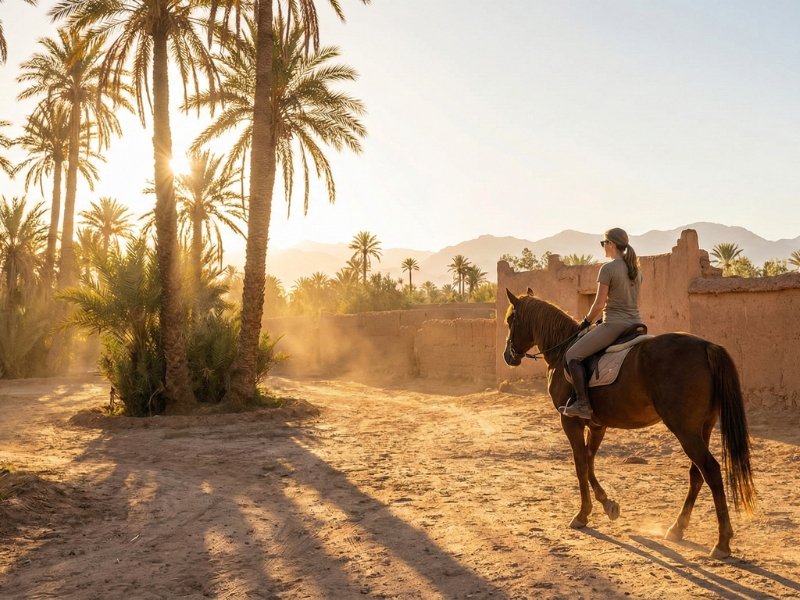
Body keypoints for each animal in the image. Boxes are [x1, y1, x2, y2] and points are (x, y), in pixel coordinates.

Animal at [502, 288, 756, 559]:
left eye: (510, 320)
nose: (508, 356)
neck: (562, 353)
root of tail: (707, 345)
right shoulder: (597, 425)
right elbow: (589, 462)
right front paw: (608, 505)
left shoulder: (570, 421)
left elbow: (580, 464)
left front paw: (583, 514)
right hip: (703, 427)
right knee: (696, 473)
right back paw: (677, 528)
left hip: (685, 429)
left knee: (711, 471)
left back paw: (722, 542)